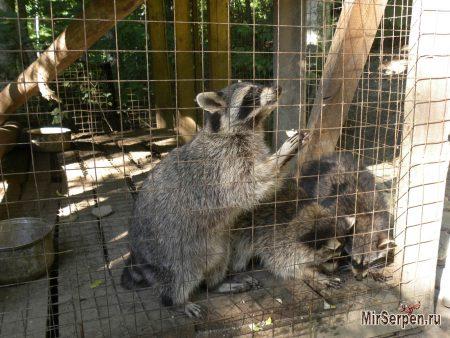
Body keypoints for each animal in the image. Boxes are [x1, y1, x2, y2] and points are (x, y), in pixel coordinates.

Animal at [121, 82, 312, 316]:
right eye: (252, 92)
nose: (278, 87)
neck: (250, 126)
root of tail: (137, 252)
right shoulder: (224, 164)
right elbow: (249, 185)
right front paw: (281, 154)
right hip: (170, 250)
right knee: (179, 276)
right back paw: (177, 300)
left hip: (217, 243)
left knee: (218, 261)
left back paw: (216, 284)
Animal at [300, 152, 396, 282]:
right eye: (353, 260)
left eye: (368, 262)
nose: (359, 278)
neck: (364, 217)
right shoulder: (336, 214)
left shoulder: (380, 210)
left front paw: (374, 271)